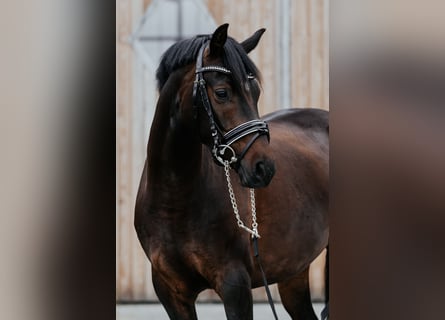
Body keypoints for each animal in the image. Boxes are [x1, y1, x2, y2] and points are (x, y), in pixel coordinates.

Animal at [134, 23, 328, 318]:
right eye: (222, 93)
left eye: (256, 92)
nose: (263, 168)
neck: (174, 199)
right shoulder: (171, 292)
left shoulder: (235, 286)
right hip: (294, 272)